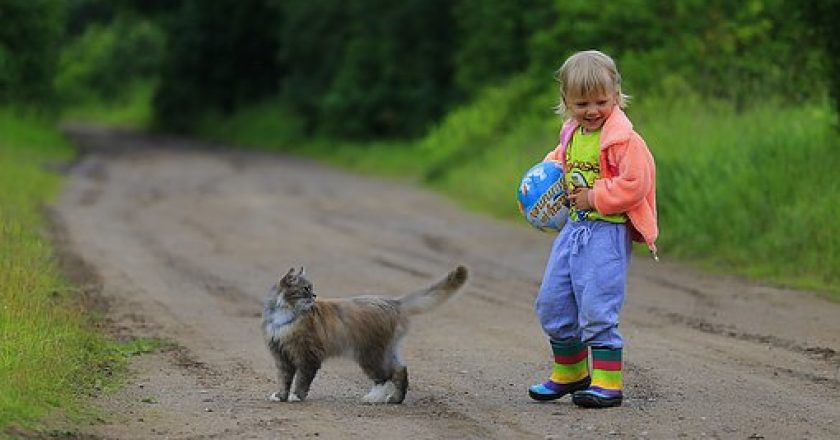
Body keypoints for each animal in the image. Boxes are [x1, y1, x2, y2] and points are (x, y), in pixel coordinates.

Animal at [262, 262, 466, 404]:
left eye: (311, 288)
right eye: (306, 289)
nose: (314, 296)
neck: (285, 314)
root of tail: (394, 302)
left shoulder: (307, 356)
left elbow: (301, 380)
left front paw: (296, 396)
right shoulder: (281, 356)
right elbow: (284, 380)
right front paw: (281, 396)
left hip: (369, 355)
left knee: (385, 377)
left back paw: (373, 398)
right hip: (385, 351)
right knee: (400, 371)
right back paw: (395, 400)